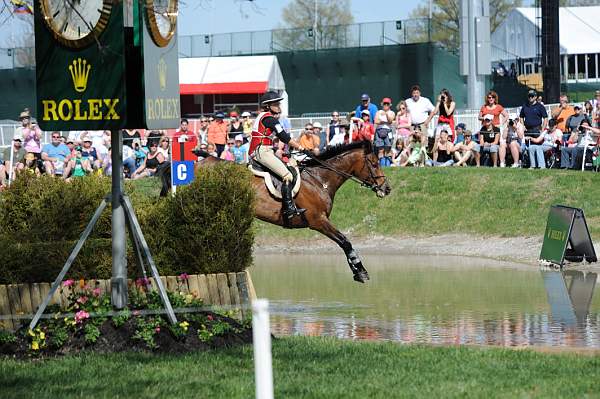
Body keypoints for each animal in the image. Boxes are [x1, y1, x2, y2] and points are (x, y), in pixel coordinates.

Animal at [170, 141, 394, 284]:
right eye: (374, 164)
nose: (387, 189)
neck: (319, 179)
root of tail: (200, 162)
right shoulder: (318, 221)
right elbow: (344, 241)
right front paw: (360, 271)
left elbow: (344, 241)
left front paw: (358, 270)